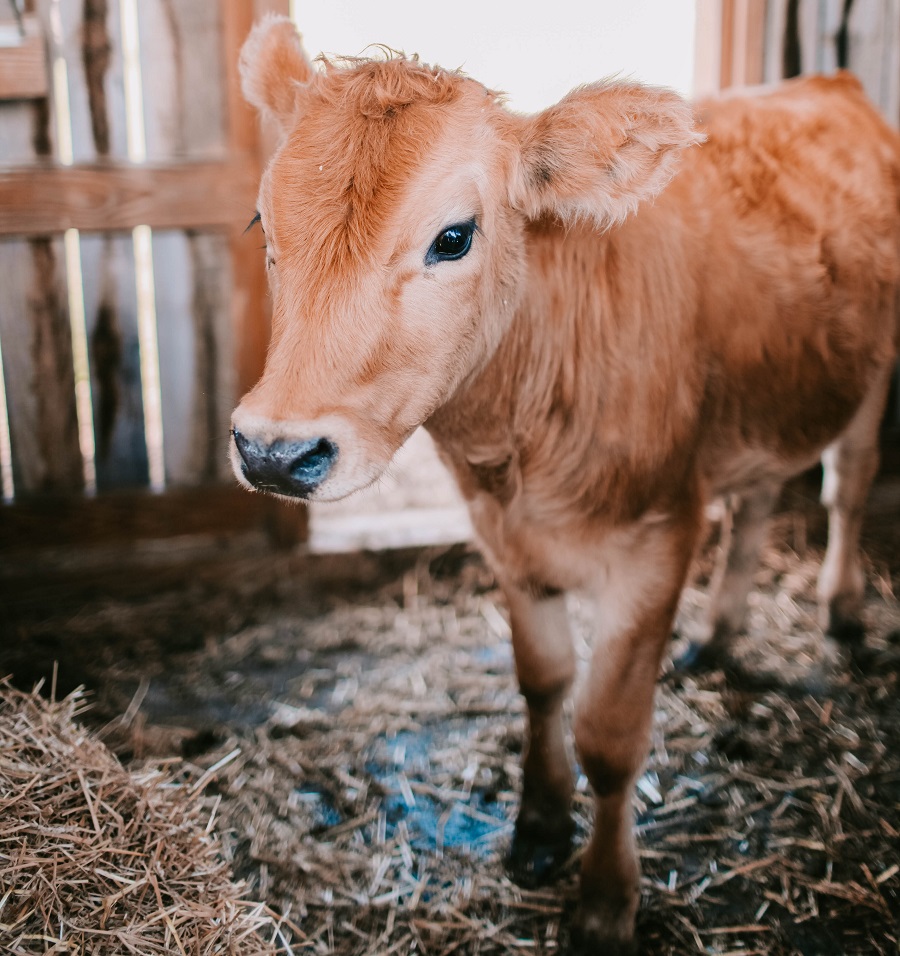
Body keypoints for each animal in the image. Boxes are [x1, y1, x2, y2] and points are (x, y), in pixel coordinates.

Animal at [230, 14, 900, 948]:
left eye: (453, 237)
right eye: (263, 222)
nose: (274, 452)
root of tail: (829, 82)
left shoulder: (659, 537)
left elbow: (610, 738)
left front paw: (605, 900)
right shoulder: (504, 539)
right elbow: (543, 683)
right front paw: (540, 825)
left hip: (875, 365)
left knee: (848, 479)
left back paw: (840, 611)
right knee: (759, 496)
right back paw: (720, 633)